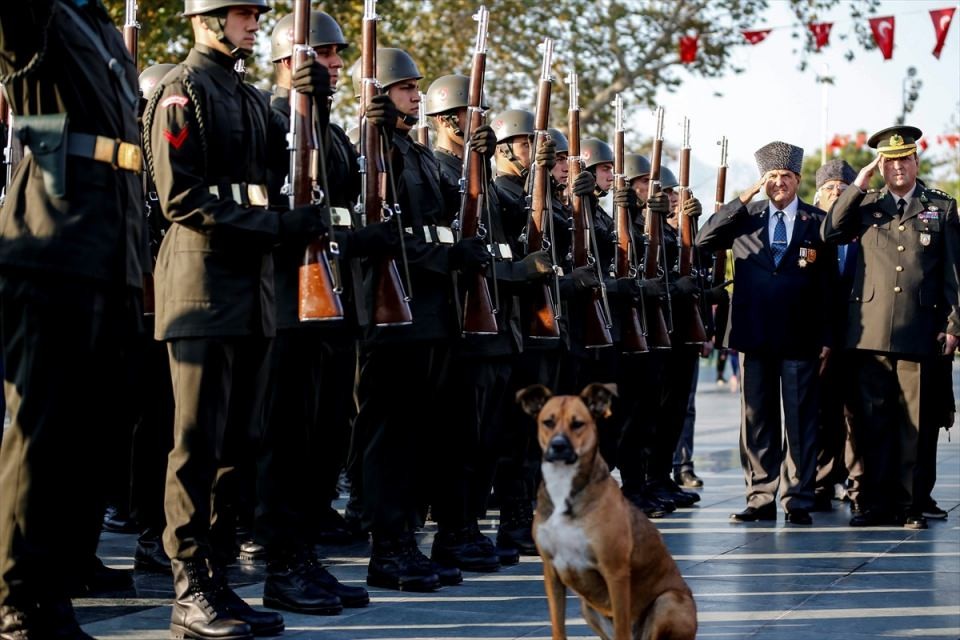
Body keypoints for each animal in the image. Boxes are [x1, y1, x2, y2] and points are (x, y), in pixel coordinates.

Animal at [516, 384, 696, 640]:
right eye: (547, 422)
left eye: (578, 423)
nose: (558, 446)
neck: (565, 487)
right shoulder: (551, 572)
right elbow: (558, 628)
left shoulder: (615, 573)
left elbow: (621, 623)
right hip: (587, 608)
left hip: (669, 601)